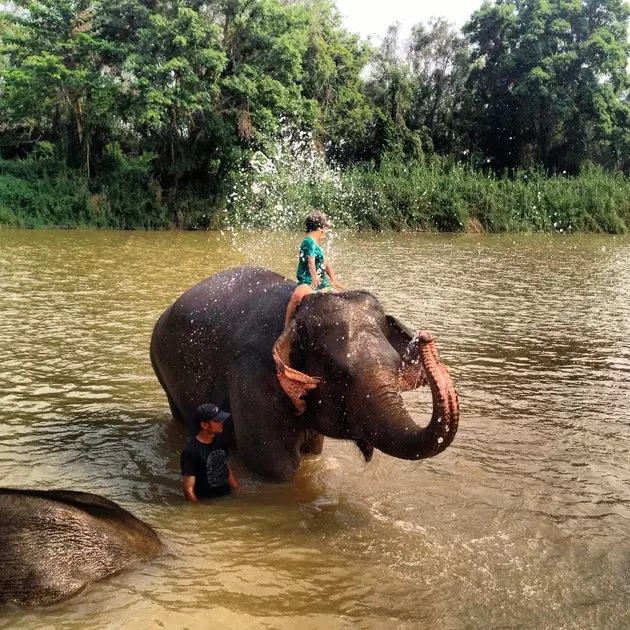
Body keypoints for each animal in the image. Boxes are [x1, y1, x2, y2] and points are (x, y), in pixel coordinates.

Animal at [151, 268, 462, 484]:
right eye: (338, 374)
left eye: (397, 365)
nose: (425, 337)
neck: (299, 311)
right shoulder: (253, 375)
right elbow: (274, 465)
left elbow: (314, 450)